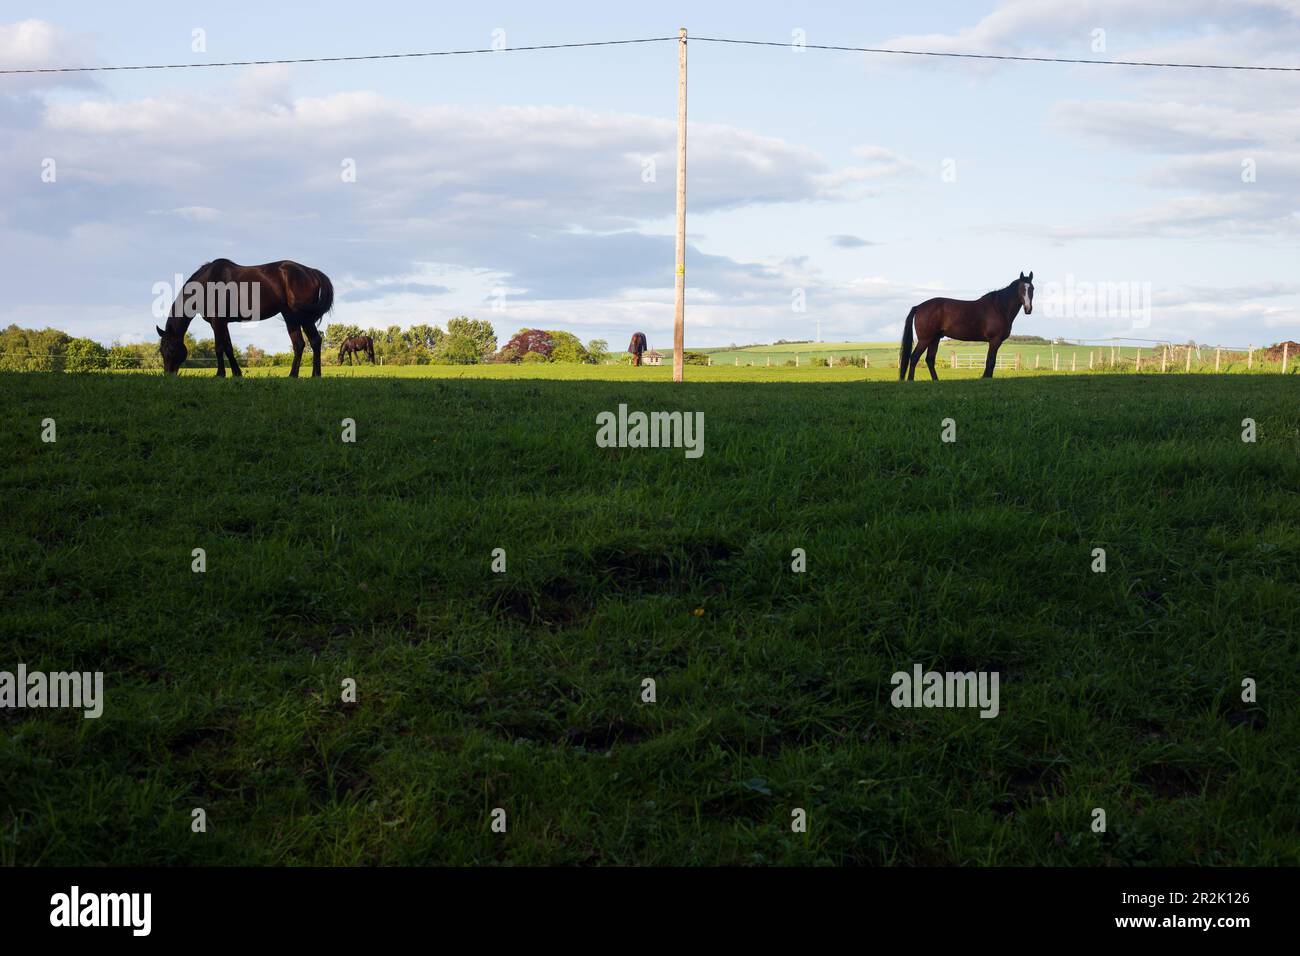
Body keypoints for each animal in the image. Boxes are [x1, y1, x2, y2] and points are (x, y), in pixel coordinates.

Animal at [156, 261, 335, 382]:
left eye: (171, 349)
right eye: (161, 351)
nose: (168, 374)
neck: (207, 284)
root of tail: (311, 271)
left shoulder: (217, 322)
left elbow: (219, 348)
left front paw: (220, 374)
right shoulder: (222, 323)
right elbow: (228, 347)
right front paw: (237, 373)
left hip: (303, 317)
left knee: (314, 341)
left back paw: (314, 375)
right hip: (291, 317)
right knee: (300, 344)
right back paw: (295, 375)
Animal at [894, 270, 1034, 379]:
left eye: (1032, 288)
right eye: (1022, 289)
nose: (1028, 309)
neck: (999, 308)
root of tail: (918, 307)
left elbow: (990, 361)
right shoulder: (995, 340)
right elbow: (990, 361)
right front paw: (986, 378)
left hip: (934, 339)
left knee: (929, 359)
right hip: (925, 339)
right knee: (914, 357)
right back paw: (910, 380)